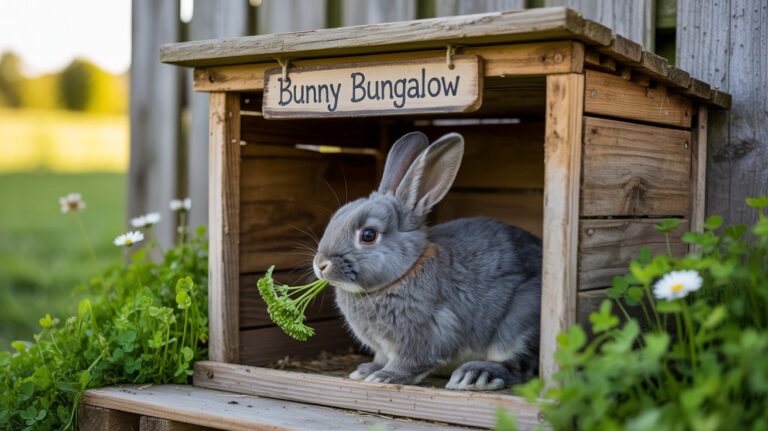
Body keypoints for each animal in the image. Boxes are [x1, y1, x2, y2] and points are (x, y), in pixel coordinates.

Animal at [312, 131, 542, 391]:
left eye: (368, 235)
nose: (320, 264)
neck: (406, 271)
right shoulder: (383, 348)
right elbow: (381, 358)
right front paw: (366, 371)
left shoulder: (428, 332)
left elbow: (411, 361)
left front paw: (385, 376)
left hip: (520, 320)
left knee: (519, 364)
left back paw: (475, 375)